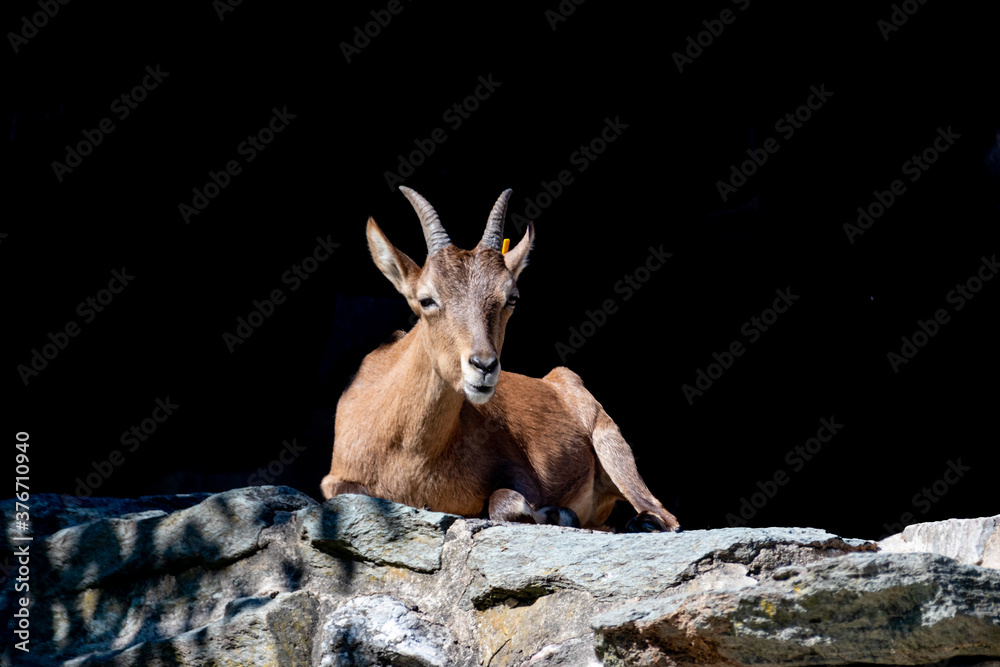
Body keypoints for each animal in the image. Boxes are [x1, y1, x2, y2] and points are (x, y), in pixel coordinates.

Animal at [320, 187, 680, 531]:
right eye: (426, 299)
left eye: (512, 298)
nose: (484, 366)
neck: (409, 455)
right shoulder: (335, 479)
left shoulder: (523, 473)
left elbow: (505, 501)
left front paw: (556, 513)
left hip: (611, 445)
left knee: (664, 516)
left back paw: (641, 522)